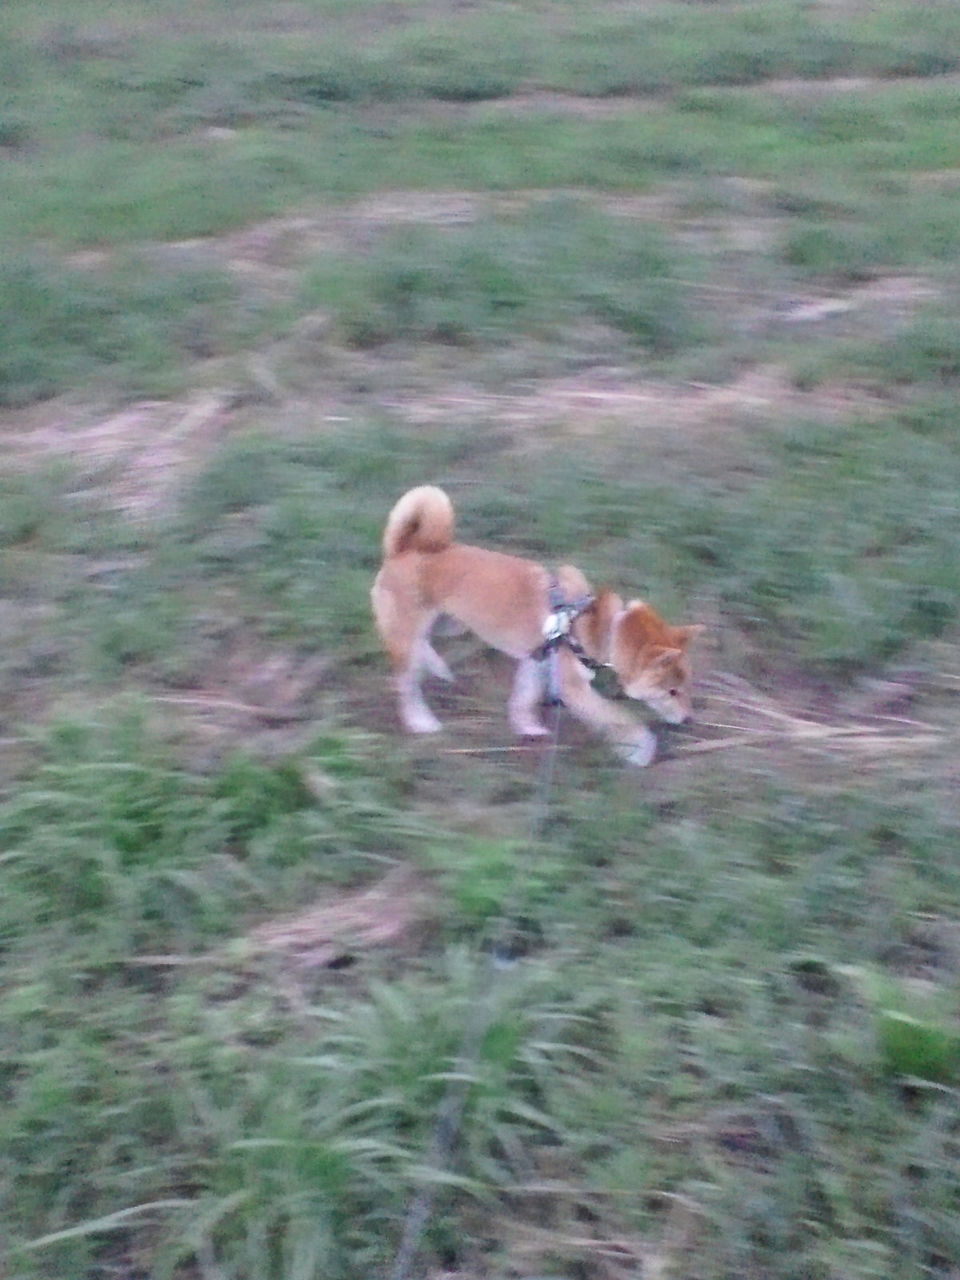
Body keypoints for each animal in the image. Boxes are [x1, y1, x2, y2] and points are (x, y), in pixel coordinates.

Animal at [371, 485, 703, 766]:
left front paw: (527, 726)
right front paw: (641, 749)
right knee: (406, 682)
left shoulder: (537, 661)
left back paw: (435, 665)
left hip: (450, 622)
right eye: (671, 691)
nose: (689, 719)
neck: (596, 625)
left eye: (687, 686)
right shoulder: (574, 688)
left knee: (423, 643)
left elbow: (523, 698)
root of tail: (403, 549)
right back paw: (420, 719)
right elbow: (619, 718)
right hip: (410, 631)